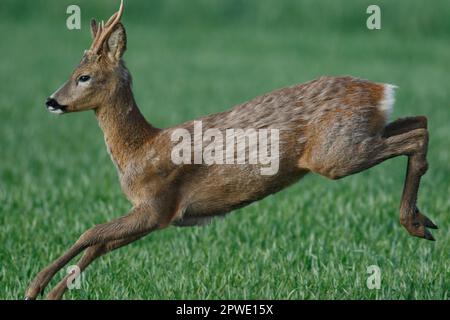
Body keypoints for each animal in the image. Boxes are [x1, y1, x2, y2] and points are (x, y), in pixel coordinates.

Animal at [24, 0, 436, 300]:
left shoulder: (158, 205)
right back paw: (424, 219)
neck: (140, 149)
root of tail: (381, 90)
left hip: (336, 154)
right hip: (358, 137)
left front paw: (34, 286)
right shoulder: (156, 214)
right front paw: (51, 294)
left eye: (83, 77)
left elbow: (90, 233)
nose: (51, 101)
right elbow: (100, 246)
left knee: (415, 136)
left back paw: (414, 223)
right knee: (420, 120)